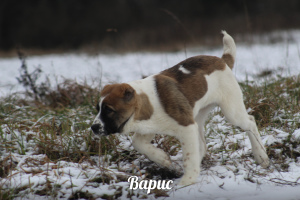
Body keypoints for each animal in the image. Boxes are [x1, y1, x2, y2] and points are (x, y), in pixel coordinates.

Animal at [91, 31, 270, 186]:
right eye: (98, 108)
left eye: (108, 110)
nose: (93, 127)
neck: (144, 105)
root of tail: (222, 61)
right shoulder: (149, 127)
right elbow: (137, 143)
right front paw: (163, 159)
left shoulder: (186, 126)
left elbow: (189, 156)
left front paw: (187, 181)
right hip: (197, 116)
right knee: (202, 145)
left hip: (231, 110)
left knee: (250, 122)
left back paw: (261, 156)